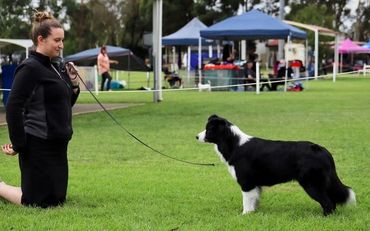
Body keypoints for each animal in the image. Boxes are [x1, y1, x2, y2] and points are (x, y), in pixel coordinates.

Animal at [197, 114, 356, 216]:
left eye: (209, 130)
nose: (196, 136)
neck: (234, 144)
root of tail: (322, 150)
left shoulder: (247, 182)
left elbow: (246, 201)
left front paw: (245, 215)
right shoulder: (255, 184)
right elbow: (254, 200)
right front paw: (253, 213)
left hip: (312, 183)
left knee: (328, 202)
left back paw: (324, 217)